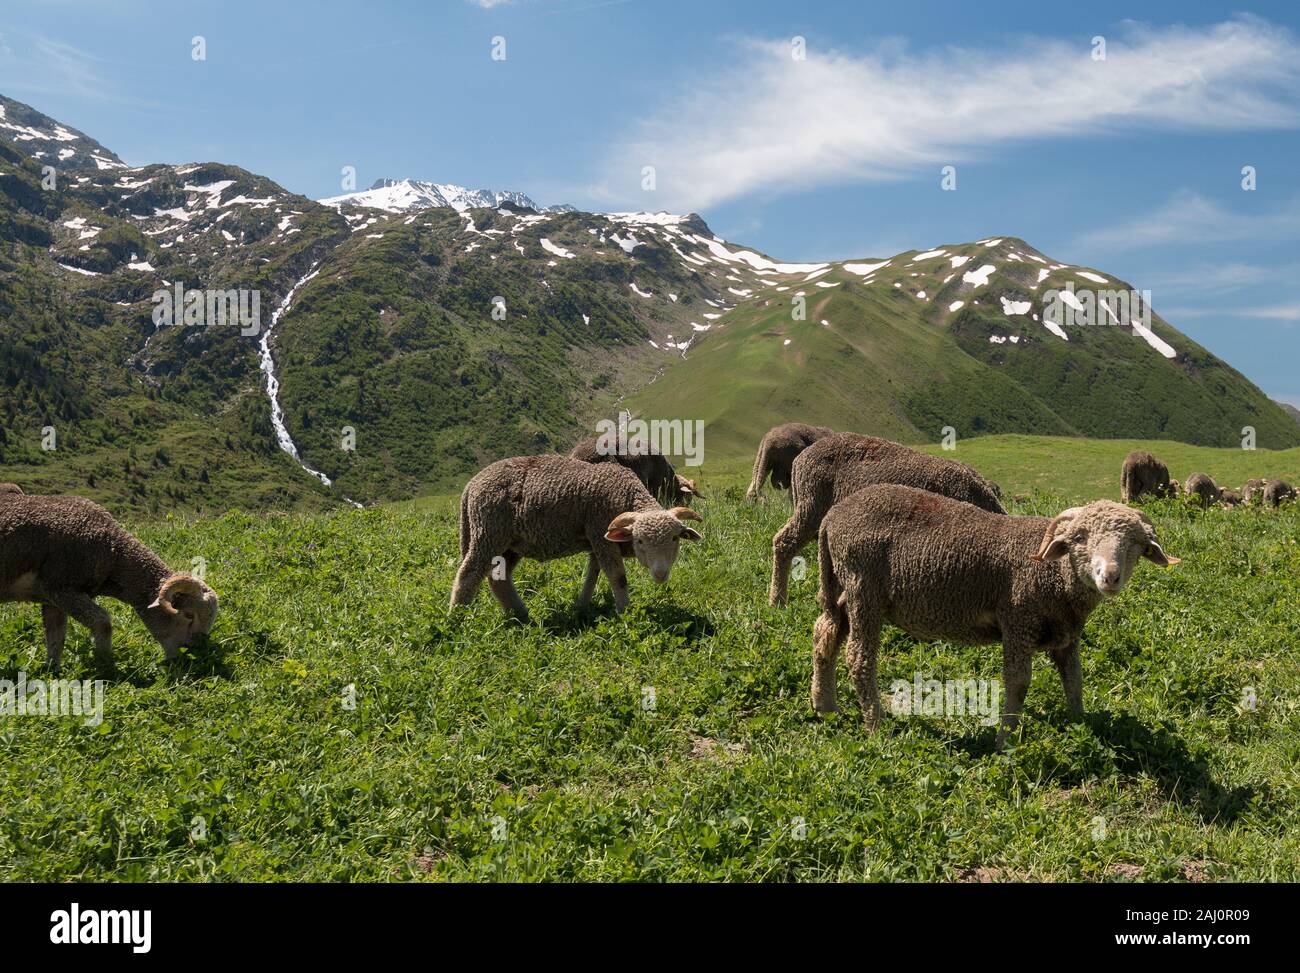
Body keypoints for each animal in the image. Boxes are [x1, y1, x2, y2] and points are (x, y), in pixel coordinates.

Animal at [0, 494, 219, 676]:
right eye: (188, 615)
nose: (193, 656)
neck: (113, 553)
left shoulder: (52, 599)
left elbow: (56, 638)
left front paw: (52, 672)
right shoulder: (60, 588)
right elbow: (102, 621)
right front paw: (107, 668)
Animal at [452, 455, 707, 624]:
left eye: (674, 538)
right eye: (640, 541)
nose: (660, 574)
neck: (625, 494)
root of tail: (471, 485)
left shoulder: (598, 540)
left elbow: (592, 574)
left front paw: (582, 606)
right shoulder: (601, 535)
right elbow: (618, 577)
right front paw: (626, 611)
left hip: (510, 544)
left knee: (498, 577)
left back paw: (521, 616)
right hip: (489, 532)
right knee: (469, 574)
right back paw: (456, 618)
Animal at [811, 483, 1180, 744]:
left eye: (1135, 544)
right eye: (1079, 537)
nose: (1110, 576)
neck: (1053, 573)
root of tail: (831, 518)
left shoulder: (1066, 636)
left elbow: (1074, 681)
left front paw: (1080, 728)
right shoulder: (1018, 621)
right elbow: (1017, 683)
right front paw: (1006, 742)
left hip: (847, 588)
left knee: (824, 631)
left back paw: (825, 707)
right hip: (864, 587)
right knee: (858, 657)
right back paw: (877, 729)